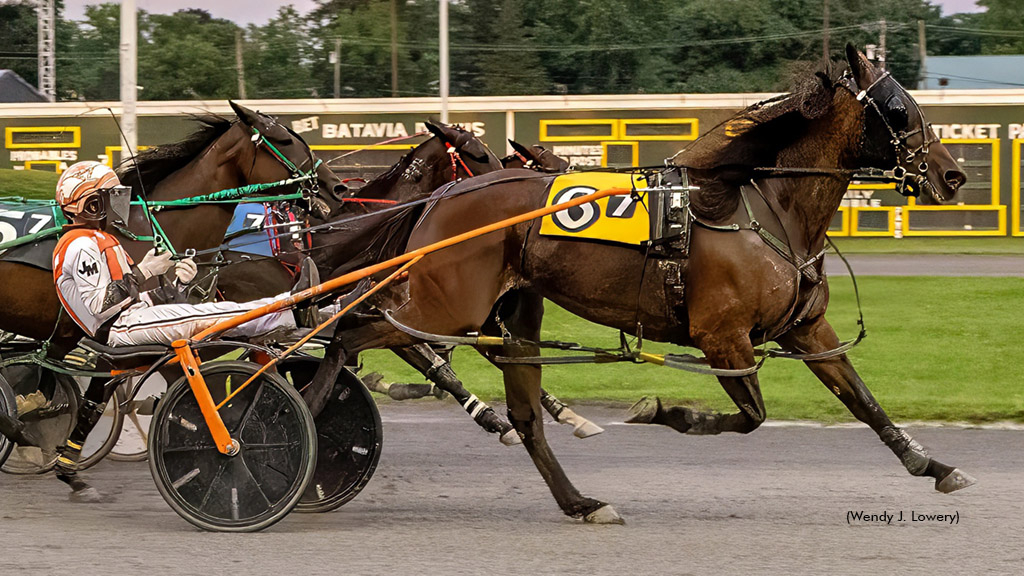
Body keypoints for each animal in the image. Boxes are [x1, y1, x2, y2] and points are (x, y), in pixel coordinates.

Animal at [303, 45, 974, 520]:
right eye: (898, 110)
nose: (952, 176)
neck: (765, 208)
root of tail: (441, 198)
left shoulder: (806, 329)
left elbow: (862, 399)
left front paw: (932, 464)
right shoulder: (721, 336)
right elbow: (751, 416)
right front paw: (665, 412)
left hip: (511, 312)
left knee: (523, 412)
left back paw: (580, 502)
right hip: (446, 304)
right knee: (352, 332)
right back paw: (302, 410)